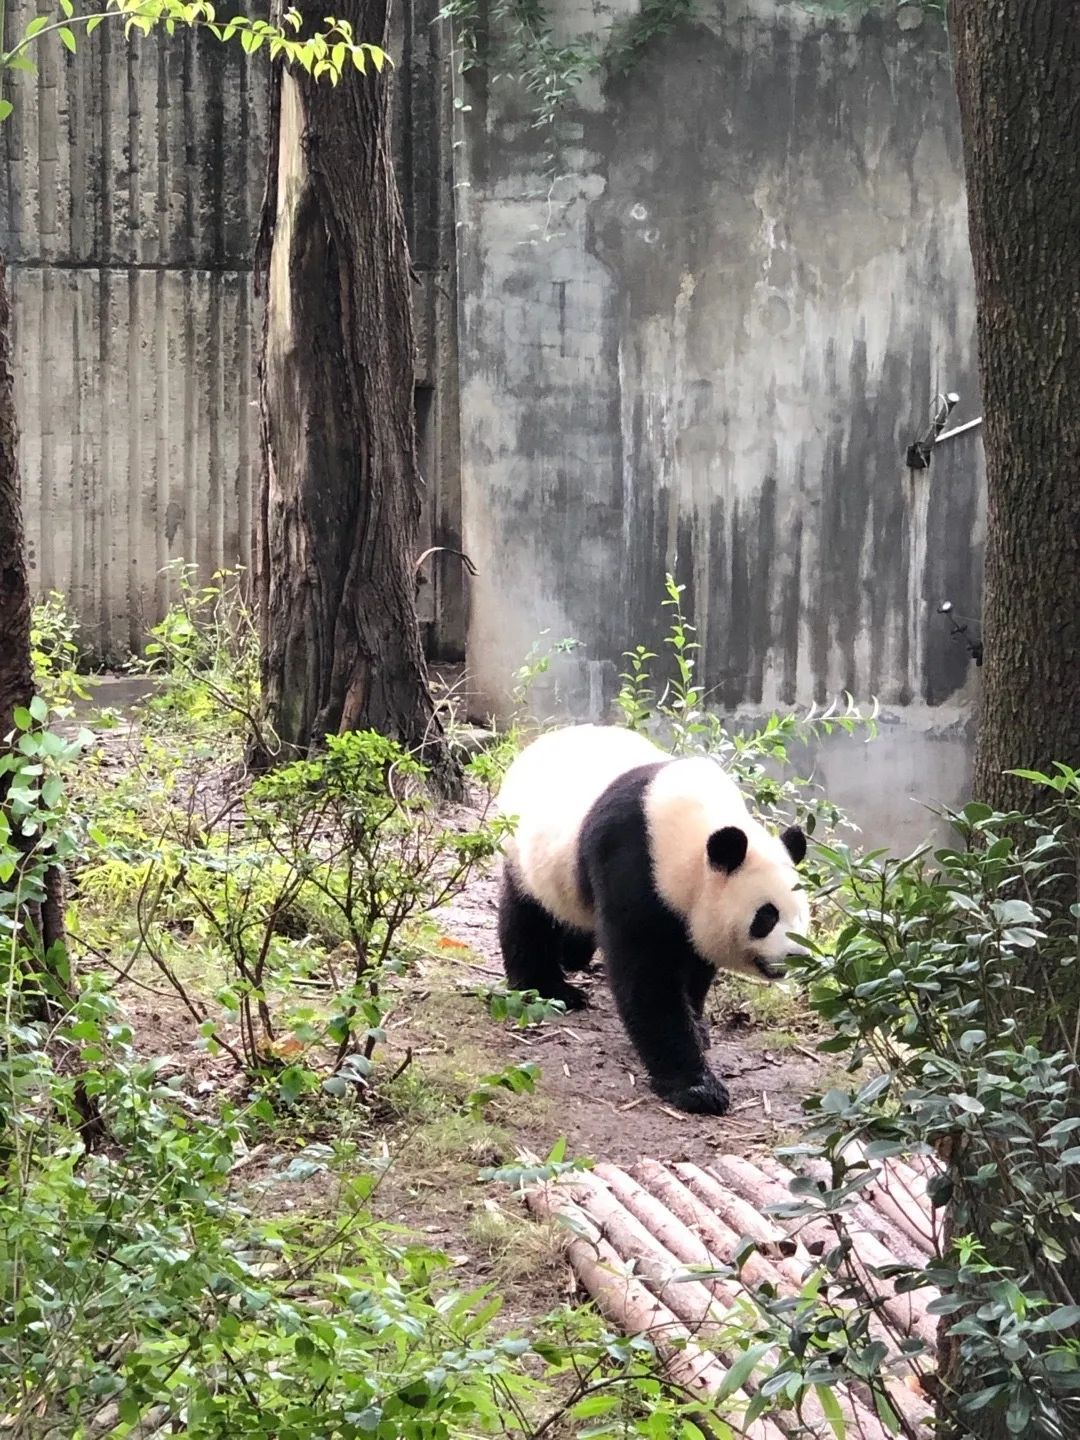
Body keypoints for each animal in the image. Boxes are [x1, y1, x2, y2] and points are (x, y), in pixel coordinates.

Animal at [498, 725, 812, 1117]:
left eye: (801, 915)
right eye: (767, 916)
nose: (795, 958)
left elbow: (695, 965)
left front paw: (698, 1027)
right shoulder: (633, 862)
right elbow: (646, 977)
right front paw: (697, 1088)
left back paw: (573, 956)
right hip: (526, 847)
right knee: (529, 914)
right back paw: (550, 987)